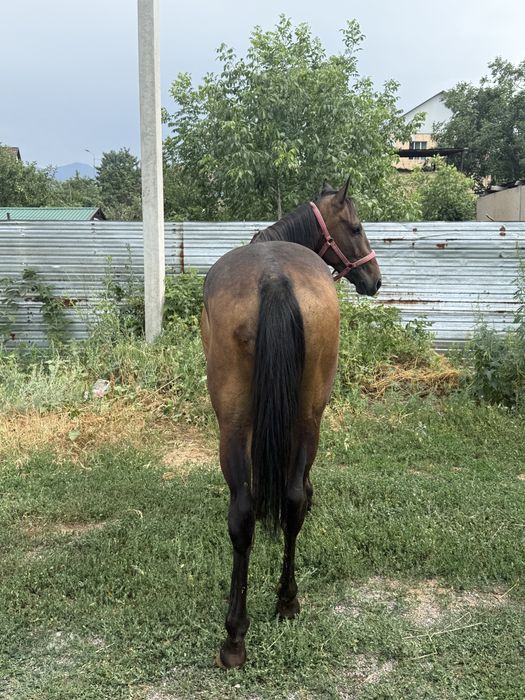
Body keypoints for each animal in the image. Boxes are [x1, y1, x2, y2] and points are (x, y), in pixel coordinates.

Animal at [200, 179, 382, 668]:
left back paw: (236, 635)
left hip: (235, 423)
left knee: (244, 512)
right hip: (306, 415)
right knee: (294, 499)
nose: (375, 279)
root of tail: (274, 277)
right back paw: (285, 602)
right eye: (355, 227)